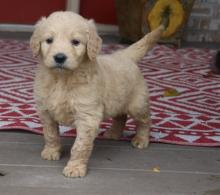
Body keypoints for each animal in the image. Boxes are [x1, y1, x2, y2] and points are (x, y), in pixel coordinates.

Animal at [30, 11, 163, 177]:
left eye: (75, 42)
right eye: (49, 40)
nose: (59, 57)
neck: (63, 79)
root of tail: (123, 55)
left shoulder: (87, 116)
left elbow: (80, 145)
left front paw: (75, 168)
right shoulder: (45, 110)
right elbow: (50, 133)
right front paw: (51, 151)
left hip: (137, 104)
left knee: (145, 120)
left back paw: (141, 139)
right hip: (117, 100)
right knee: (121, 116)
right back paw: (113, 133)